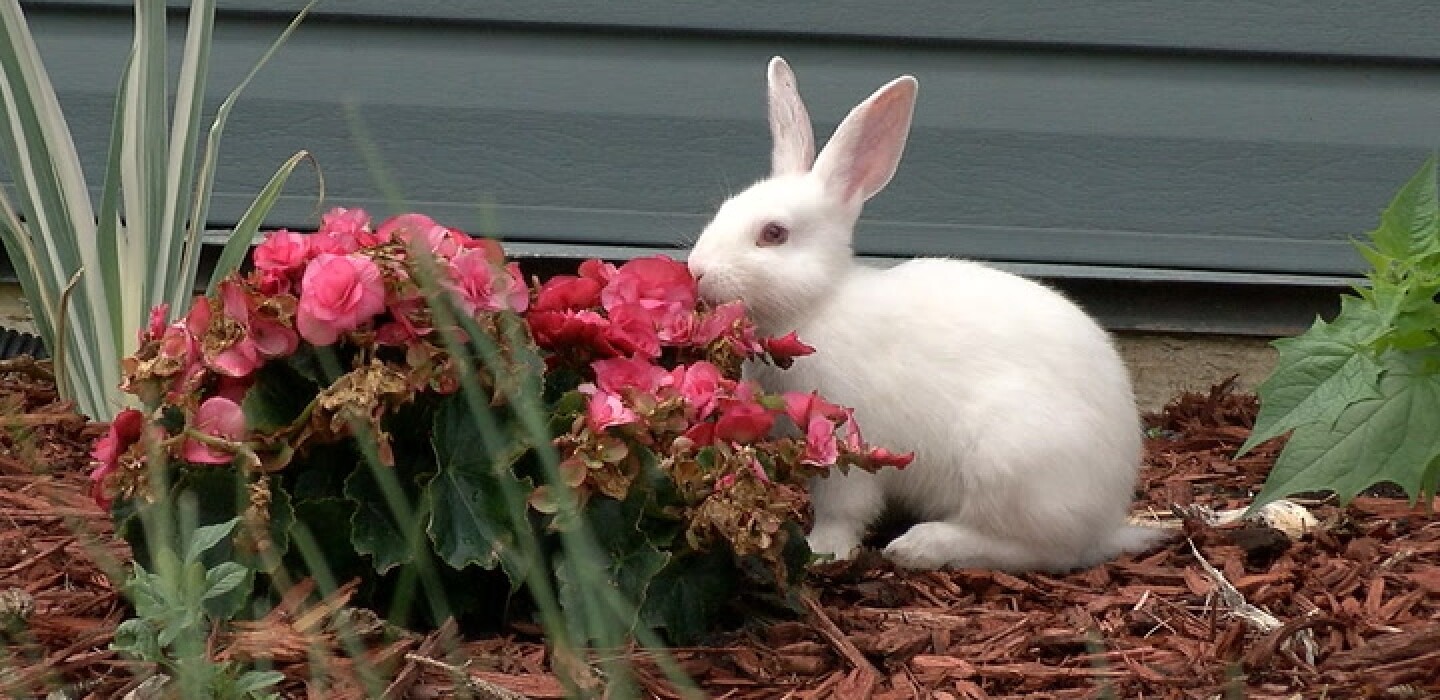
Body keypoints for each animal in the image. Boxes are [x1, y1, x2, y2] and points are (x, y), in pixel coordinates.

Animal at [685, 56, 1170, 572]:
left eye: (773, 234)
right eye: (724, 208)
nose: (696, 270)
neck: (819, 302)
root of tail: (1108, 517)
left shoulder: (849, 445)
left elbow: (843, 510)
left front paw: (822, 551)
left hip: (1010, 459)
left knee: (1036, 549)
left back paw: (921, 546)